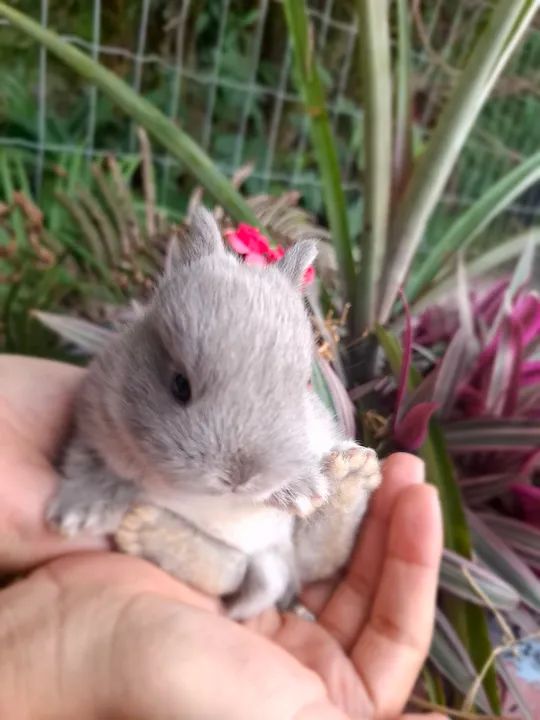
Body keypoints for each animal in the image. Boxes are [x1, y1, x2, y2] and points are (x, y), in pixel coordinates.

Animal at [46, 207, 381, 619]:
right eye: (179, 385)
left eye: (303, 384)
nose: (239, 476)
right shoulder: (94, 423)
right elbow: (92, 468)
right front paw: (78, 513)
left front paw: (301, 490)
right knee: (232, 573)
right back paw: (144, 531)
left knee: (319, 558)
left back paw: (353, 474)